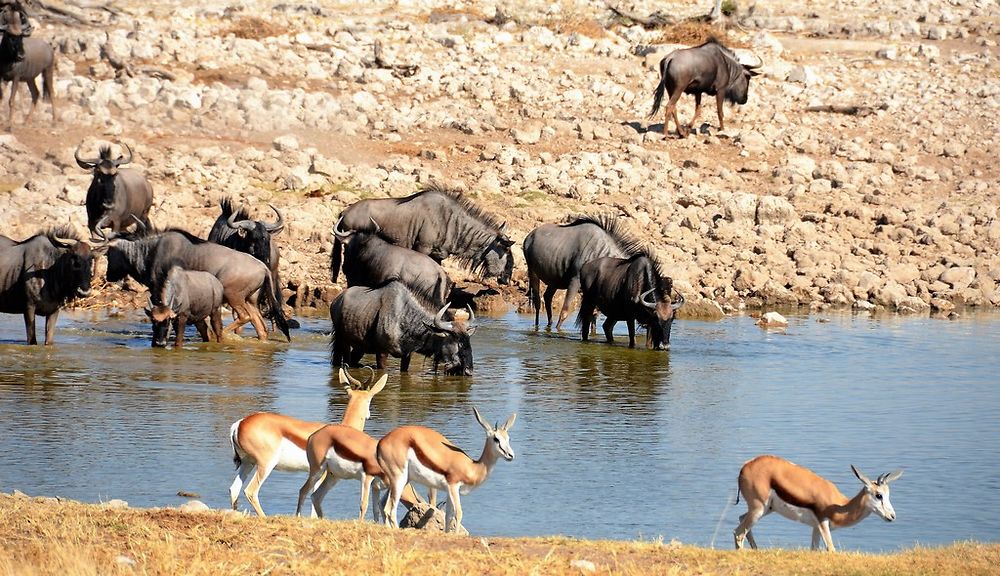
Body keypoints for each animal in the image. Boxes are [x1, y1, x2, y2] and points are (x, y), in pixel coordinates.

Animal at [732, 454, 904, 552]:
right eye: (879, 495)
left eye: (888, 495)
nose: (892, 516)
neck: (840, 505)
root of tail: (745, 466)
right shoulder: (822, 523)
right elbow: (831, 549)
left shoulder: (815, 528)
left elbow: (814, 550)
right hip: (759, 509)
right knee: (738, 533)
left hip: (767, 509)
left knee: (741, 519)